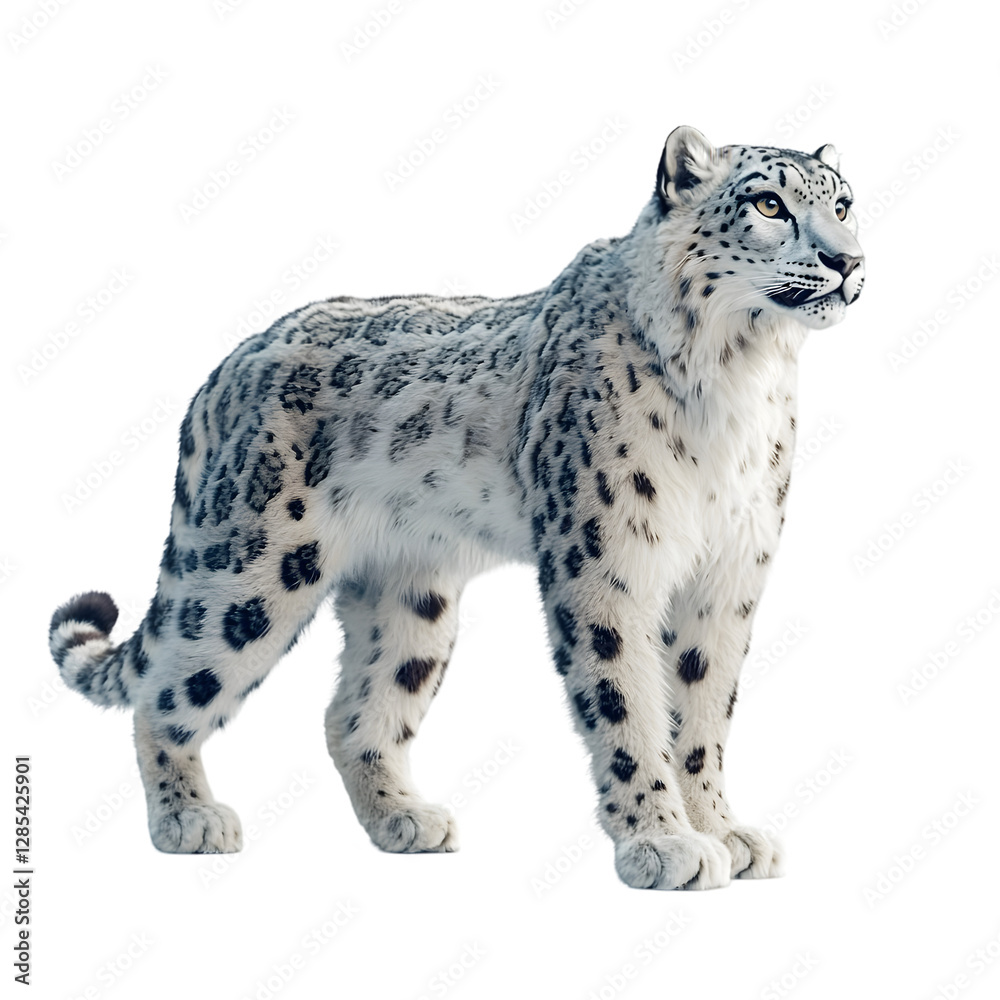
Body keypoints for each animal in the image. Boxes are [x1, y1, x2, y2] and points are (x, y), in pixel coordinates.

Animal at [49, 126, 864, 889]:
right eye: (770, 204)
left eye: (845, 204)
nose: (848, 262)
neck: (741, 378)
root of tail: (224, 369)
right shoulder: (607, 562)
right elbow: (626, 700)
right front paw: (664, 844)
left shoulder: (728, 574)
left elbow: (701, 706)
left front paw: (723, 830)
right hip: (250, 571)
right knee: (168, 690)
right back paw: (188, 817)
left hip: (413, 597)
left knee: (356, 712)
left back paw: (405, 819)